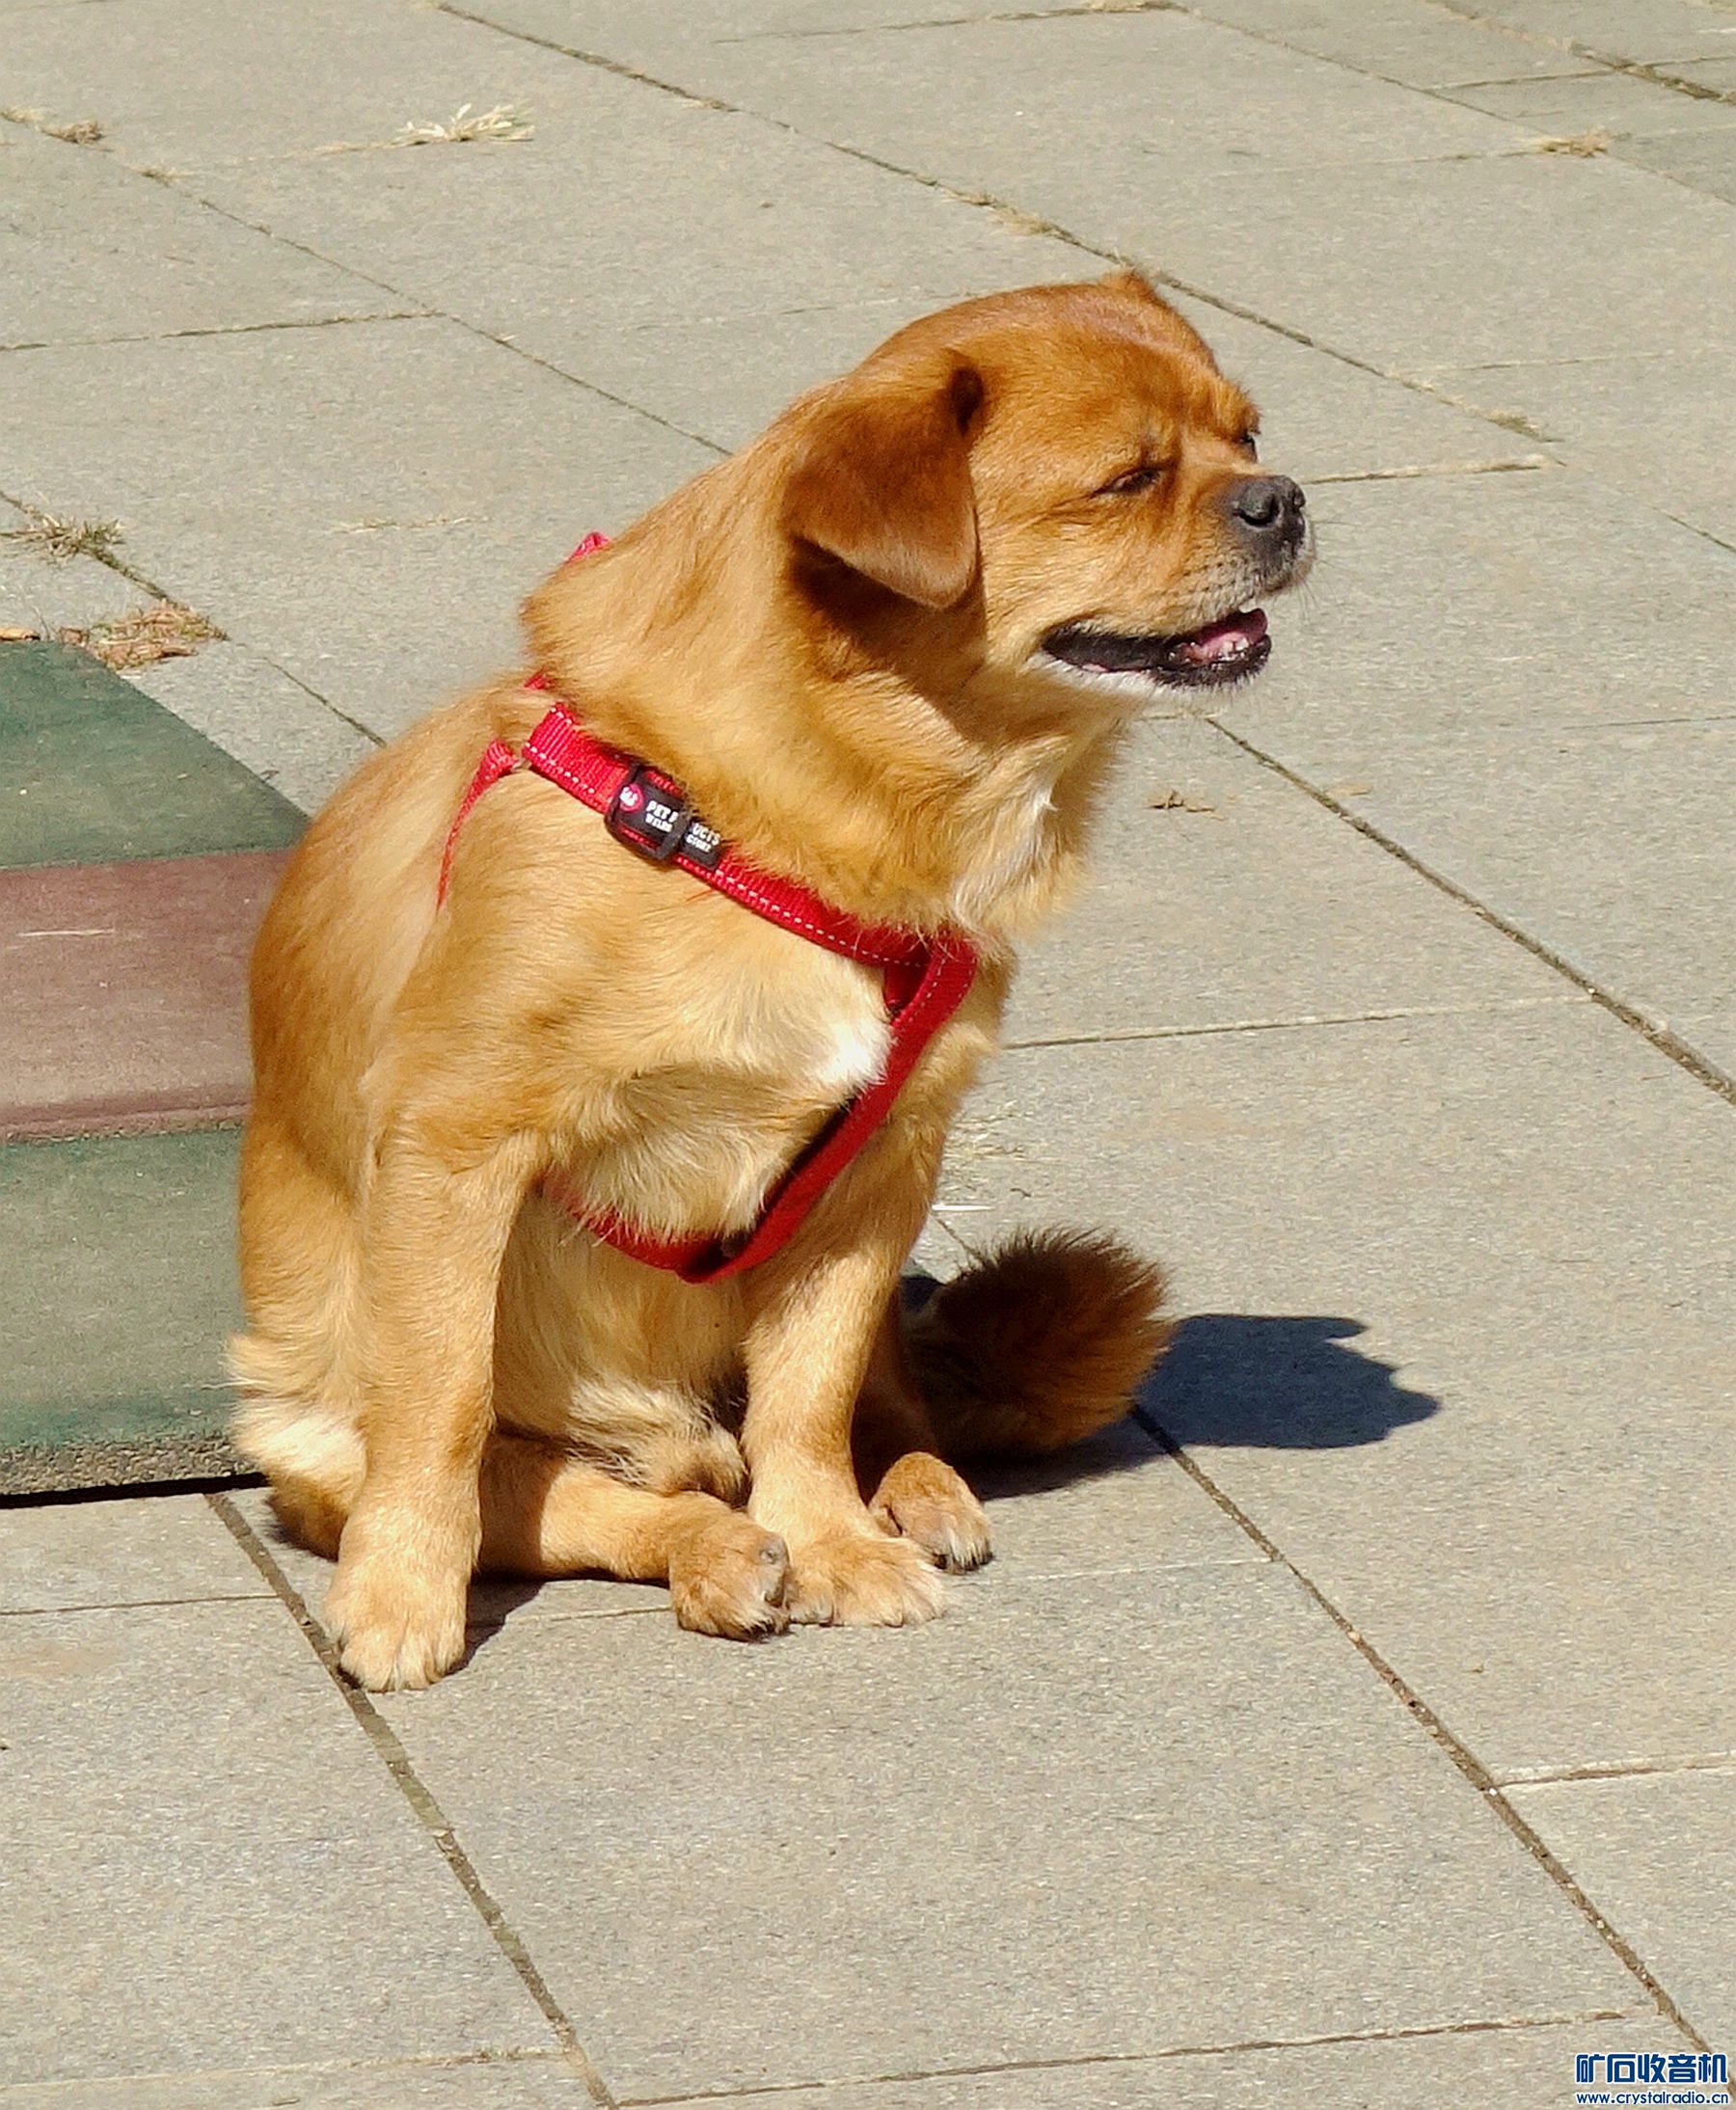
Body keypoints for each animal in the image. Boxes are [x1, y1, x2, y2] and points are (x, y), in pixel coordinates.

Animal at [232, 271, 1311, 1690]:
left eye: (1248, 436)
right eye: (1125, 480)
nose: (1284, 496)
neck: (762, 834)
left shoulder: (875, 1170)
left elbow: (813, 1389)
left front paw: (840, 1544)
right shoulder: (454, 1143)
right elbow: (442, 1404)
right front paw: (402, 1591)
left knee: (866, 1405)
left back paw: (902, 1495)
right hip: (322, 1434)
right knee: (576, 1496)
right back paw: (714, 1552)